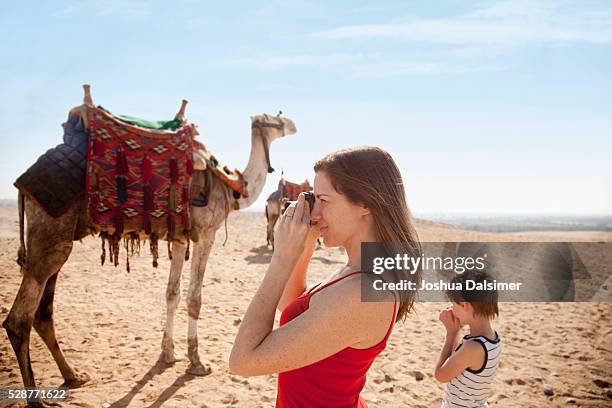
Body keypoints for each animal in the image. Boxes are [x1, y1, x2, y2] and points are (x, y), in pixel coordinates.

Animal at [1, 86, 298, 402]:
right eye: (275, 119)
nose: (293, 124)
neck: (232, 187)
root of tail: (22, 184)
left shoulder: (180, 238)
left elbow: (172, 294)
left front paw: (168, 355)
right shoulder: (206, 233)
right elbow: (194, 298)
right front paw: (197, 362)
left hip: (57, 237)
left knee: (43, 313)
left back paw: (74, 377)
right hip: (49, 232)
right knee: (19, 319)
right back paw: (37, 399)